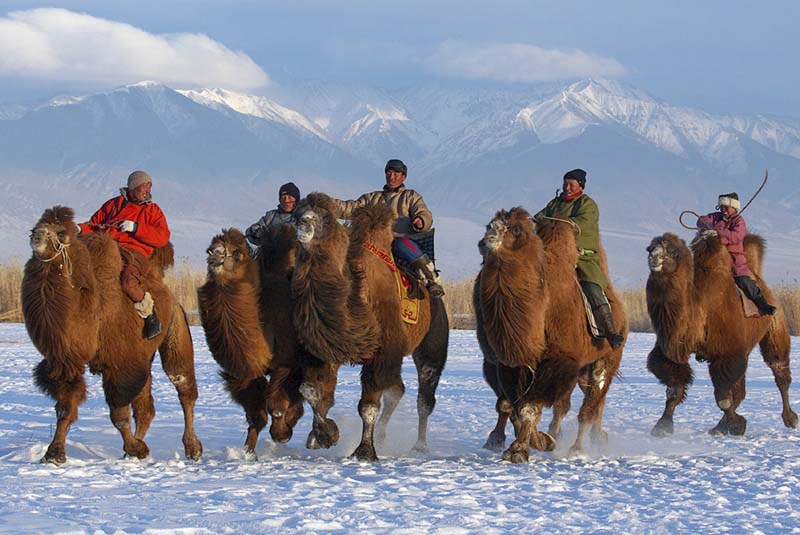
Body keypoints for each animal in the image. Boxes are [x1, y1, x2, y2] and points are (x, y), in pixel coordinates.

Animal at [23, 206, 202, 464]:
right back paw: (139, 445)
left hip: (176, 329)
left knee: (182, 385)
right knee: (145, 407)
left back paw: (193, 448)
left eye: (60, 233)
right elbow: (65, 407)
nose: (36, 236)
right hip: (144, 356)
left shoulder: (120, 362)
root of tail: (171, 296)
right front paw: (54, 453)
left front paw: (135, 448)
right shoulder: (67, 361)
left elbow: (118, 414)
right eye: (35, 226)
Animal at [197, 226, 306, 456]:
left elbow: (276, 404)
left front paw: (282, 433)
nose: (215, 254)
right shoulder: (244, 374)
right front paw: (247, 452)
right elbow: (256, 413)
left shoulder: (287, 363)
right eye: (210, 247)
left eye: (237, 252)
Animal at [292, 192, 449, 461]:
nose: (303, 223)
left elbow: (368, 406)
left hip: (433, 342)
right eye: (298, 213)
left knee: (424, 397)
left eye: (326, 218)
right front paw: (324, 435)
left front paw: (364, 451)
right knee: (397, 389)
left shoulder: (381, 352)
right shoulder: (329, 348)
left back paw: (419, 445)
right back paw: (384, 437)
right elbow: (310, 389)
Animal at [475, 207, 625, 463]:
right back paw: (588, 437)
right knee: (584, 403)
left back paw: (577, 448)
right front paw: (535, 440)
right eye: (488, 225)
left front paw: (521, 449)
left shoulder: (558, 360)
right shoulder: (508, 363)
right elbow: (510, 405)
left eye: (516, 229)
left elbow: (529, 408)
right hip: (582, 370)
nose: (485, 242)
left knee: (590, 404)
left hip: (606, 358)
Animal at [645, 231, 797, 436]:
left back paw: (790, 418)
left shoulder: (727, 354)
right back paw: (720, 426)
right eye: (650, 246)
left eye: (673, 251)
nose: (653, 256)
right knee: (741, 390)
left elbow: (723, 398)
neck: (700, 309)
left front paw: (737, 424)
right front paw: (662, 425)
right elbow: (674, 388)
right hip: (746, 347)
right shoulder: (673, 349)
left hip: (775, 326)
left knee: (779, 370)